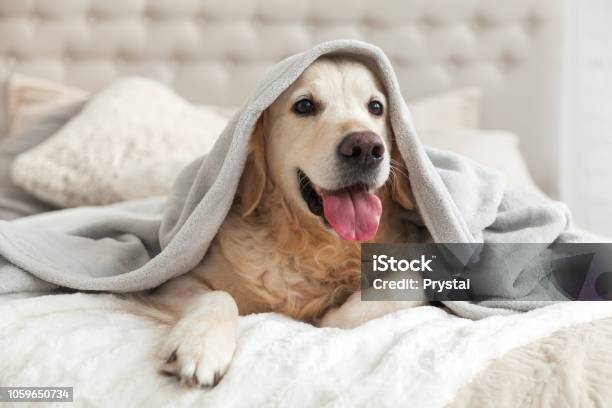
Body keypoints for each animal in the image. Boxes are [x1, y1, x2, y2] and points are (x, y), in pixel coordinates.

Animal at [140, 55, 424, 388]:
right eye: (304, 105)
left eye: (376, 107)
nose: (365, 148)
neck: (317, 247)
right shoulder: (170, 282)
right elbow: (218, 295)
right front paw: (199, 346)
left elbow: (408, 284)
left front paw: (331, 316)